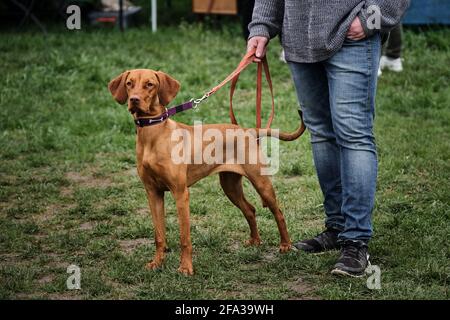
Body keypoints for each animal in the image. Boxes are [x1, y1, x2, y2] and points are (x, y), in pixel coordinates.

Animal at [108, 69, 306, 274]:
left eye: (149, 84)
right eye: (129, 83)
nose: (134, 100)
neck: (153, 135)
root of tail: (248, 130)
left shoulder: (180, 193)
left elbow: (184, 237)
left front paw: (186, 268)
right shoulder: (153, 193)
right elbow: (159, 235)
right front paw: (157, 263)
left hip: (261, 183)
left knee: (278, 212)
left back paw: (285, 245)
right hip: (229, 186)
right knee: (250, 209)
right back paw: (255, 240)